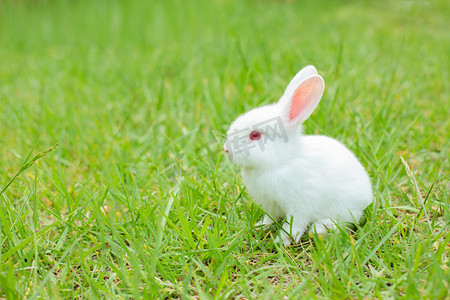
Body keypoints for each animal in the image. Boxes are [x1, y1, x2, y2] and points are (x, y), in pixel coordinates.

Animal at [222, 65, 372, 246]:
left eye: (255, 135)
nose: (226, 149)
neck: (280, 163)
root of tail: (368, 196)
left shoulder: (299, 206)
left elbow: (294, 225)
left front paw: (282, 241)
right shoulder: (271, 206)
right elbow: (269, 219)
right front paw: (259, 227)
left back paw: (321, 229)